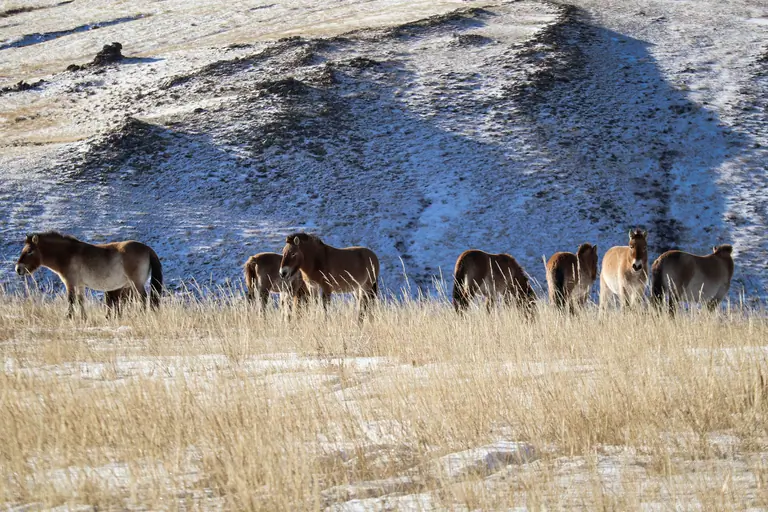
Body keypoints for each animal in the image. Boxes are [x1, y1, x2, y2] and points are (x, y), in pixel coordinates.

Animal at [15, 232, 163, 319]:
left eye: (29, 251)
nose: (18, 269)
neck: (68, 254)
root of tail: (147, 248)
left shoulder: (70, 283)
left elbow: (71, 301)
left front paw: (68, 317)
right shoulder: (80, 285)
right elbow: (81, 301)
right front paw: (83, 318)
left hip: (136, 283)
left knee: (143, 299)